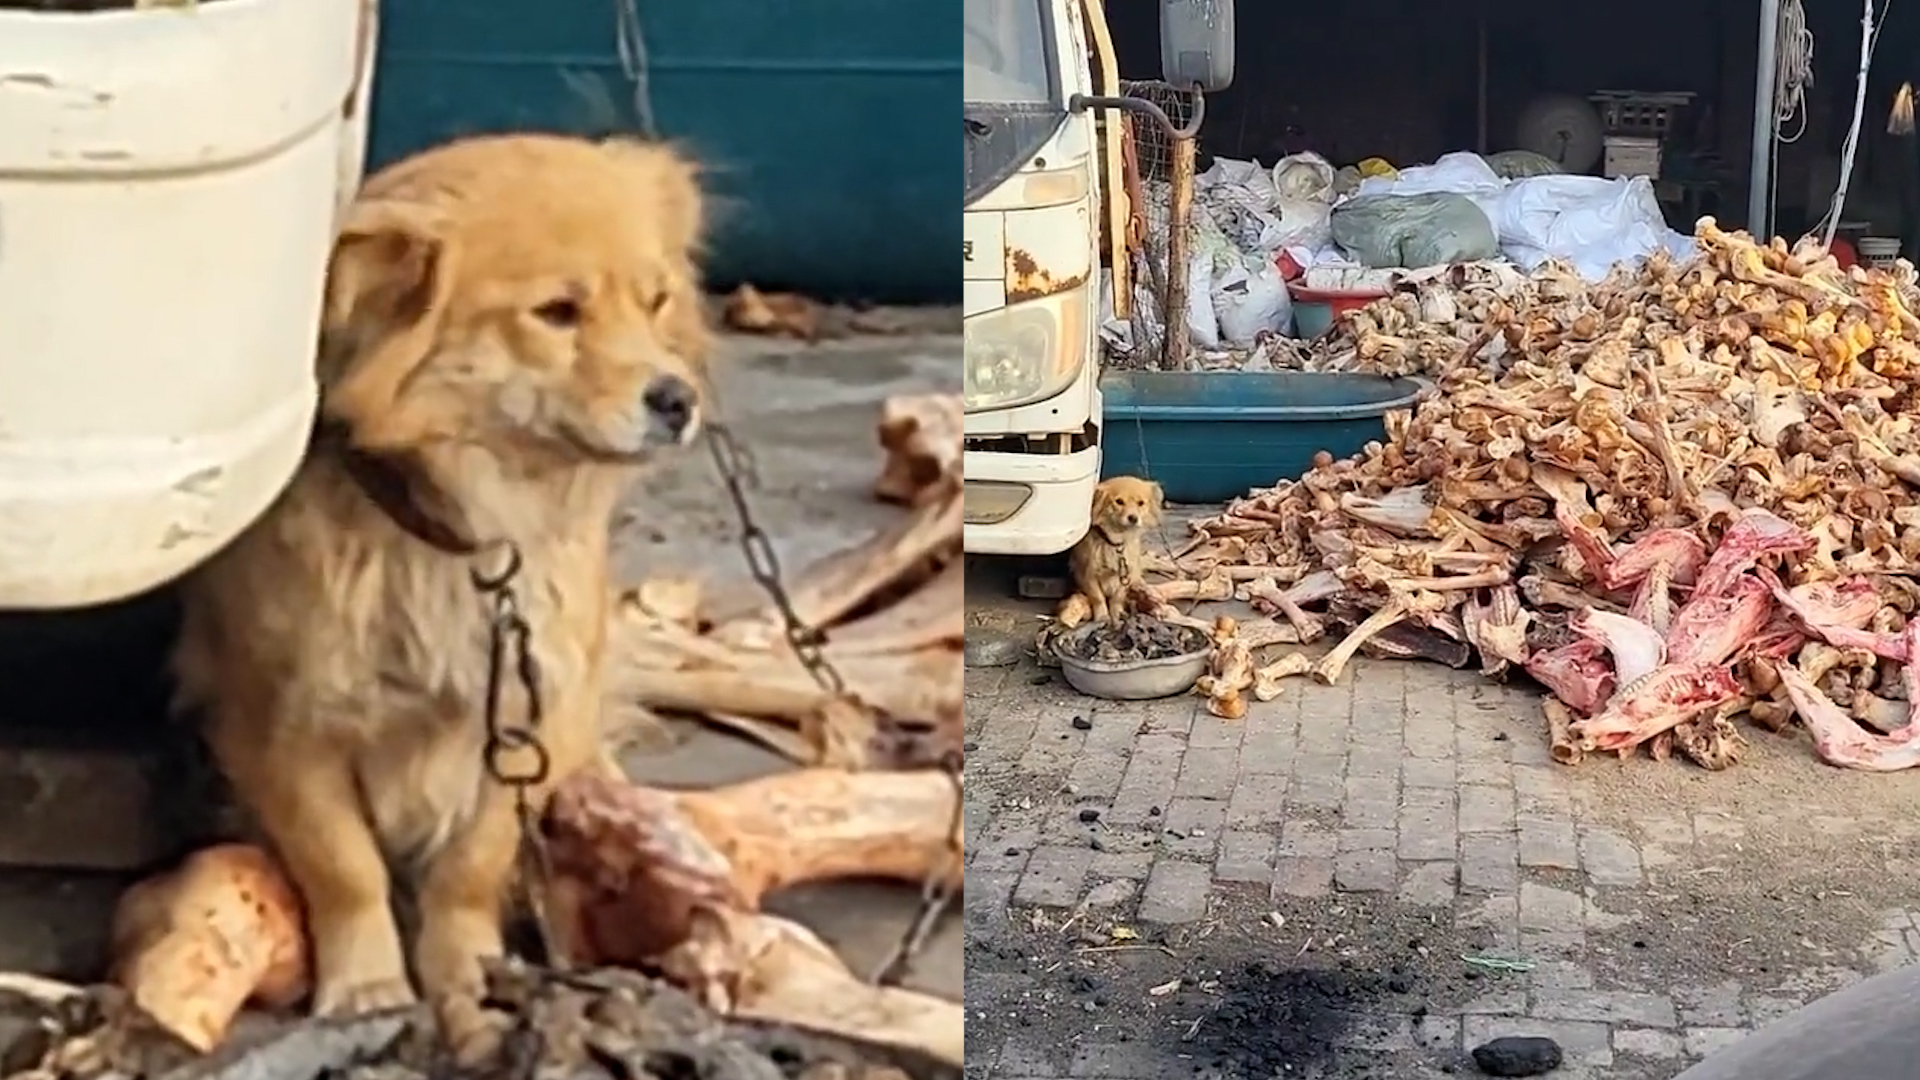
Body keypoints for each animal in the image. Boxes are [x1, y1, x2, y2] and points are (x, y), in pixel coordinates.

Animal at [170, 132, 714, 1053]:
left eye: (656, 302)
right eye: (557, 313)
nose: (678, 399)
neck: (466, 535)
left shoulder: (532, 715)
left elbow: (471, 864)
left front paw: (468, 971)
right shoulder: (278, 725)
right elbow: (342, 863)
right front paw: (367, 984)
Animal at [1067, 472, 1152, 622]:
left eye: (1141, 503)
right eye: (1119, 501)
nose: (1133, 518)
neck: (1115, 542)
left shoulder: (1127, 573)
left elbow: (1118, 597)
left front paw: (1116, 613)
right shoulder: (1087, 573)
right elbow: (1097, 597)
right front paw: (1102, 616)